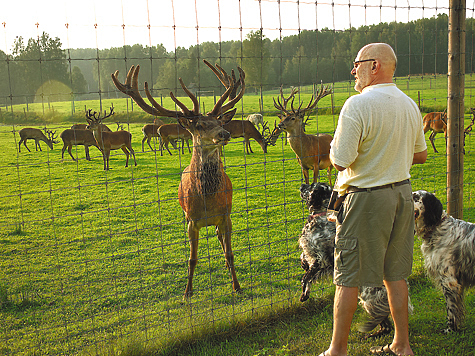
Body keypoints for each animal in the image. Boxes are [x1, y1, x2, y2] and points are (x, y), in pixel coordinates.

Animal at [111, 60, 245, 298]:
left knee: (220, 238)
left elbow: (230, 253)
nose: (224, 134)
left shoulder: (225, 215)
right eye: (199, 125)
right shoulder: (191, 220)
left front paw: (236, 285)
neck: (207, 202)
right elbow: (192, 259)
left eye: (219, 121)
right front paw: (187, 292)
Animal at [298, 184, 412, 336]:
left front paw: (304, 295)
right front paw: (303, 263)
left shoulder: (321, 259)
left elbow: (306, 278)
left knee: (385, 324)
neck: (321, 216)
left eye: (311, 187)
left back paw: (372, 335)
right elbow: (304, 259)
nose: (302, 185)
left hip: (369, 300)